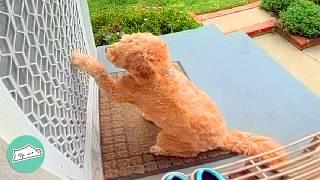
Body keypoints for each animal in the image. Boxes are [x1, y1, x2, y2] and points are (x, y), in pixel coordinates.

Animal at [72, 32, 288, 165]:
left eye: (124, 48)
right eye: (123, 39)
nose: (107, 50)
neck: (158, 74)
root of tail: (223, 137)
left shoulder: (117, 93)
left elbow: (100, 72)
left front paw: (81, 59)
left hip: (171, 139)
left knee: (188, 153)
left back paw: (159, 149)